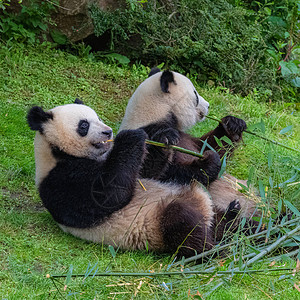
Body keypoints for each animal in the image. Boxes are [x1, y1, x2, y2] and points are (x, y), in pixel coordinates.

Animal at [26, 99, 241, 258]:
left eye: (98, 117)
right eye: (84, 125)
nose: (108, 131)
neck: (59, 153)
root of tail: (205, 213)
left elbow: (147, 170)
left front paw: (164, 139)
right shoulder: (59, 181)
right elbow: (106, 196)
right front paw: (131, 137)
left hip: (209, 209)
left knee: (224, 224)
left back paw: (234, 217)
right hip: (158, 223)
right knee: (183, 224)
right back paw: (213, 249)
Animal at [118, 69, 258, 233]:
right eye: (195, 95)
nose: (208, 105)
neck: (153, 114)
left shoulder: (188, 138)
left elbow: (211, 145)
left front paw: (232, 125)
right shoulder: (147, 133)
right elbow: (150, 174)